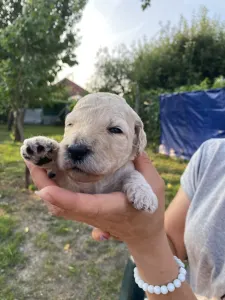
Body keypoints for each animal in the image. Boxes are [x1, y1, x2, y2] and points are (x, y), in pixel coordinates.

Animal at [20, 92, 158, 212]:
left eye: (115, 129)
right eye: (70, 124)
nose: (76, 150)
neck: (97, 180)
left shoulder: (124, 171)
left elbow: (133, 173)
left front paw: (144, 194)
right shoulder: (68, 185)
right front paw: (42, 150)